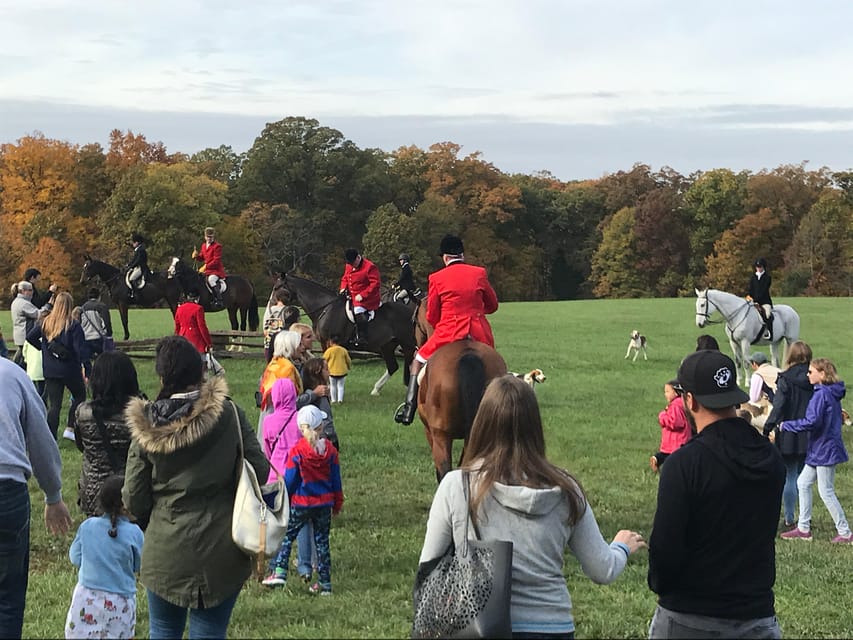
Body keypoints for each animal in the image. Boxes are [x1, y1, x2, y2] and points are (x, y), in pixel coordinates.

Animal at [272, 272, 416, 392]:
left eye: (277, 288)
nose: (272, 305)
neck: (326, 308)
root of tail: (412, 311)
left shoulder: (329, 342)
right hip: (387, 345)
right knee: (393, 366)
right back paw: (376, 390)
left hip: (407, 343)